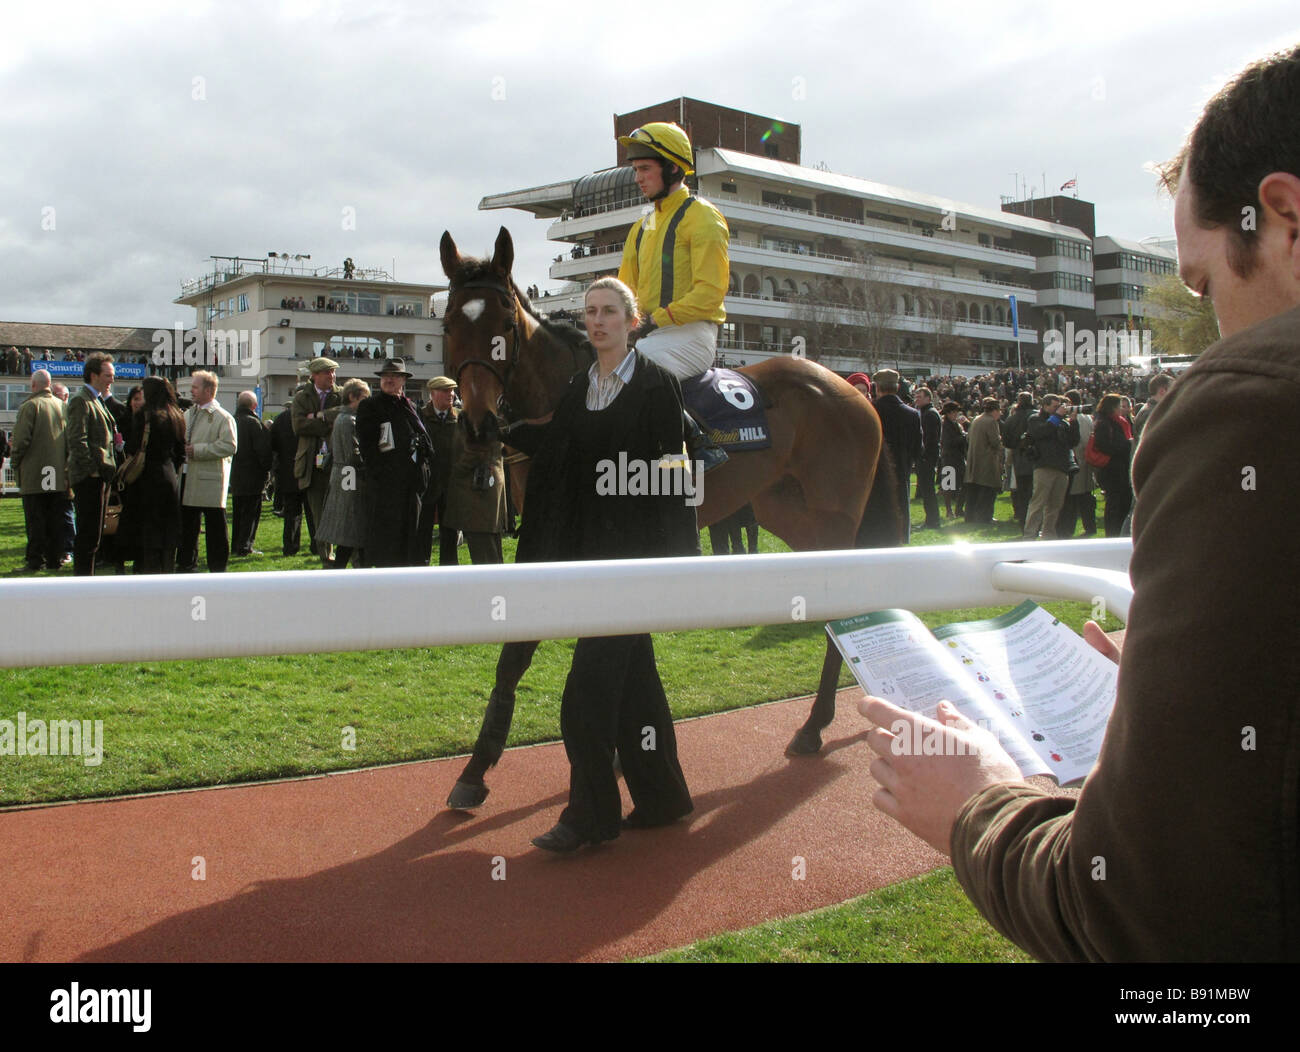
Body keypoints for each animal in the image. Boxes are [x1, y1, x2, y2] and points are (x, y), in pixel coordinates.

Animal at [441, 226, 899, 806]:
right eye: (449, 324)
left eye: (503, 324)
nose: (478, 426)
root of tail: (854, 390)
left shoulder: (548, 541)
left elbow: (517, 651)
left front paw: (476, 769)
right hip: (791, 516)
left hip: (832, 522)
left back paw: (815, 725)